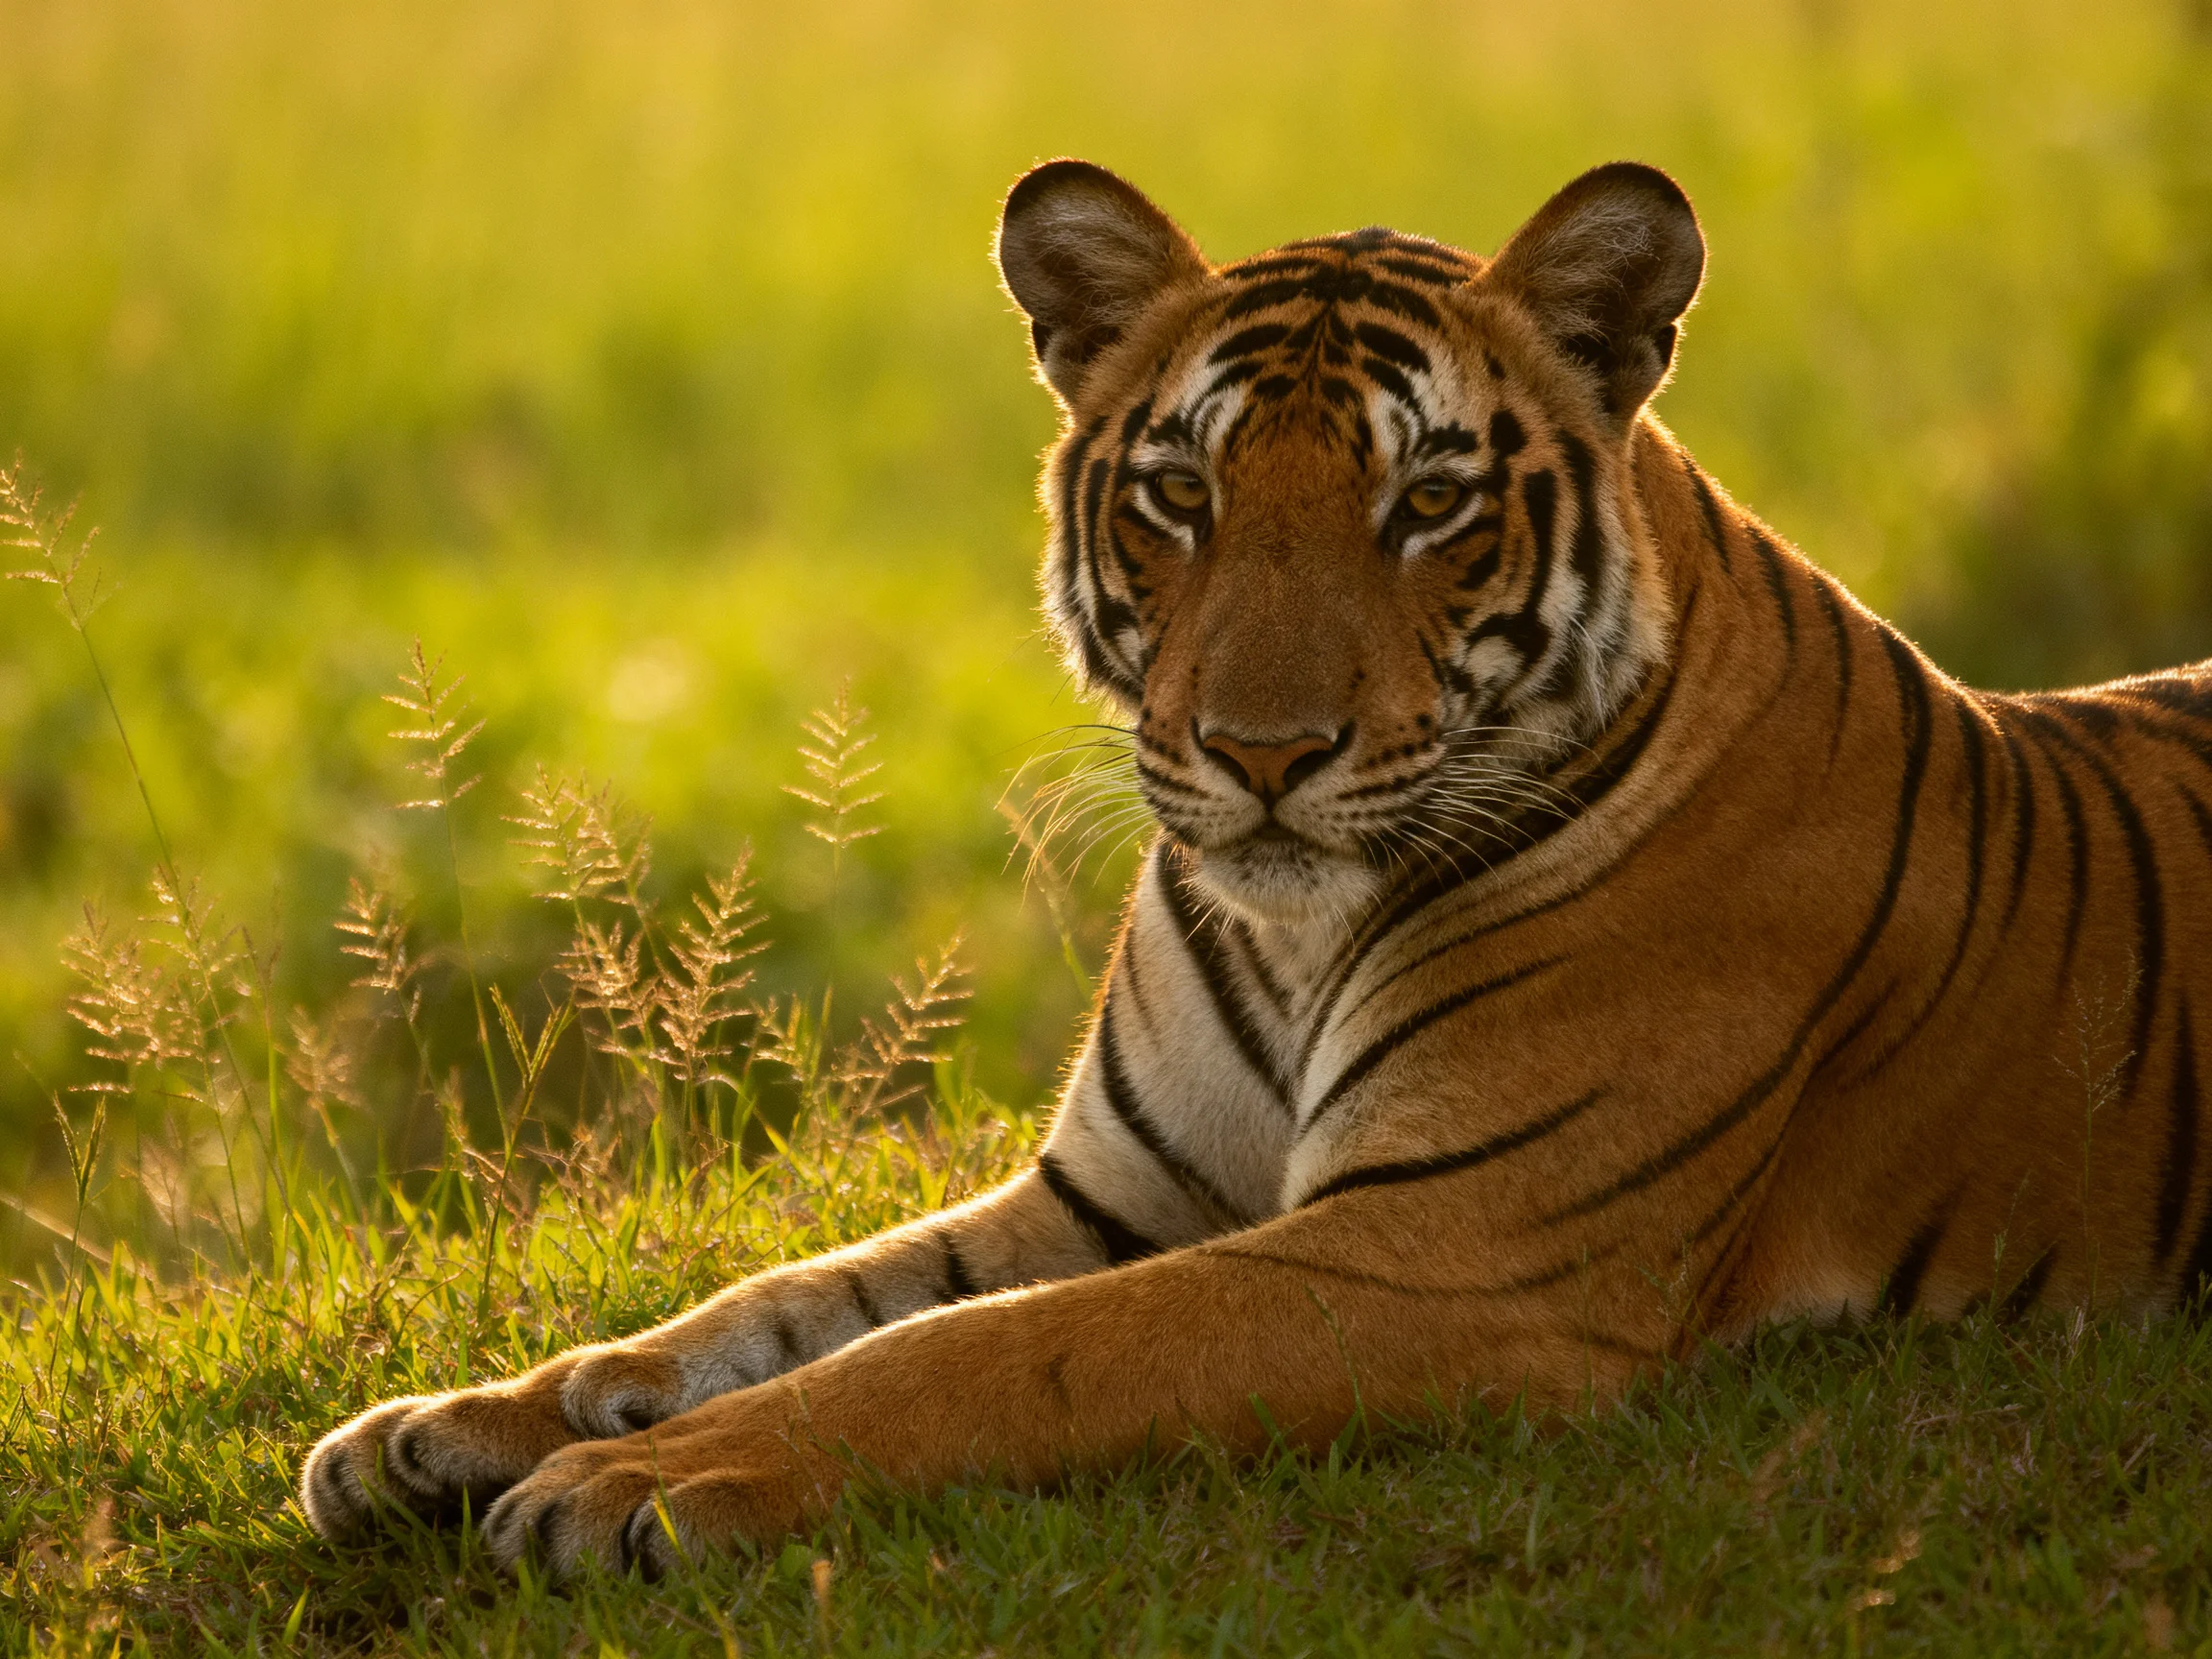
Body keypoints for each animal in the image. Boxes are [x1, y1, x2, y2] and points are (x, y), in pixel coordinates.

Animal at [301, 158, 2212, 1579]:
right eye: (1179, 492)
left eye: (1427, 505)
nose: (1263, 753)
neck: (1300, 941)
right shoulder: (1107, 1193)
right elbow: (775, 1302)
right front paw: (451, 1428)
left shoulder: (1451, 1246)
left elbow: (991, 1351)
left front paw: (632, 1486)